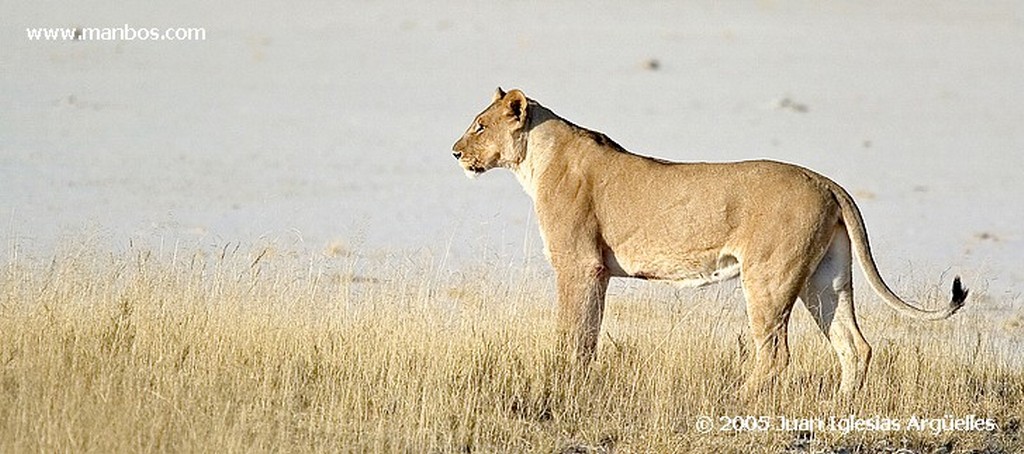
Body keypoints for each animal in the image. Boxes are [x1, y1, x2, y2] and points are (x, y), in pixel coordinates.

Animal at [450, 87, 966, 395]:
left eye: (480, 125)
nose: (454, 152)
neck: (535, 159)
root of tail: (825, 181)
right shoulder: (594, 271)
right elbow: (587, 333)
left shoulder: (580, 265)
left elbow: (573, 334)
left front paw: (564, 383)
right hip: (825, 278)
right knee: (855, 346)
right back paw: (840, 409)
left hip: (768, 276)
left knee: (775, 353)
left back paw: (738, 400)